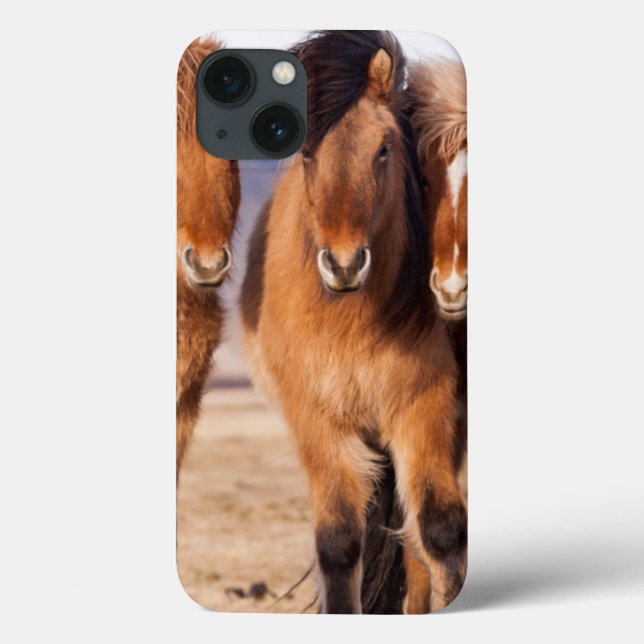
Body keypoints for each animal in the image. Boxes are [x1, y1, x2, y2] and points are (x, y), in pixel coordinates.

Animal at [240, 31, 466, 614]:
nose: (343, 264)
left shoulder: (425, 408)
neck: (350, 323)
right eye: (305, 152)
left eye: (384, 149)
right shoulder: (319, 421)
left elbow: (441, 533)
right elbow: (339, 543)